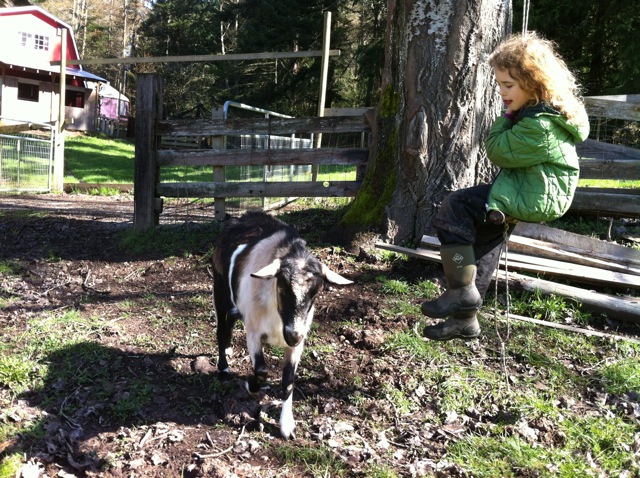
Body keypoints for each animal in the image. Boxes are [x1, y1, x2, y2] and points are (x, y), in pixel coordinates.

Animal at [211, 211, 352, 438]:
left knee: (231, 321)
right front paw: (251, 386)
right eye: (283, 287)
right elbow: (261, 369)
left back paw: (229, 348)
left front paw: (287, 426)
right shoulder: (253, 332)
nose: (293, 335)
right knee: (221, 329)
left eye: (316, 293)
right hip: (220, 290)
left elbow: (288, 382)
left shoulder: (296, 345)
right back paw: (223, 368)